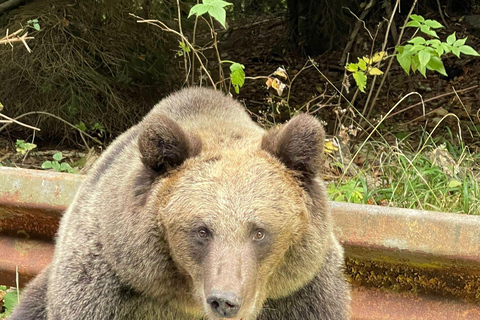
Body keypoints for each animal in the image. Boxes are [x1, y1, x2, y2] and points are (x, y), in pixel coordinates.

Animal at [9, 87, 350, 320]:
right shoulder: (106, 284)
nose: (224, 300)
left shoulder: (303, 291)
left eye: (259, 231)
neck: (187, 298)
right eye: (202, 230)